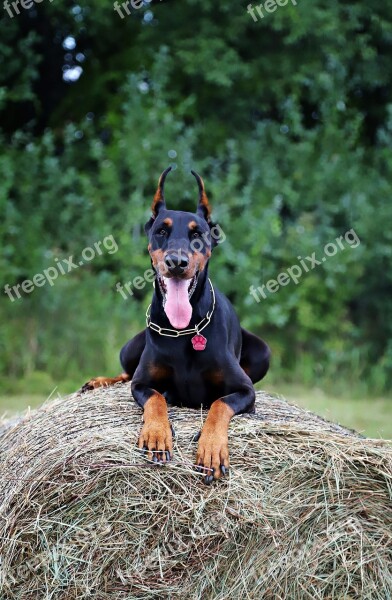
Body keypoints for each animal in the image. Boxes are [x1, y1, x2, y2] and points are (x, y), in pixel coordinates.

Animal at [79, 168, 270, 482]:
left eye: (197, 234)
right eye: (161, 231)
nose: (176, 262)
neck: (184, 331)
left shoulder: (245, 391)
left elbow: (219, 405)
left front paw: (211, 448)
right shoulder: (142, 383)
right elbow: (154, 398)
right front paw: (157, 435)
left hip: (263, 351)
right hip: (130, 347)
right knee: (125, 373)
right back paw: (97, 381)